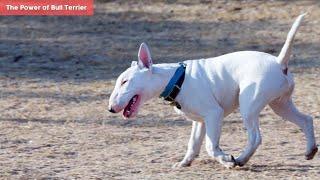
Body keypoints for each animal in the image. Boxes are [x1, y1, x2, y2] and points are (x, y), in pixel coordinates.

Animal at [108, 13, 318, 168]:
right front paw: (183, 163)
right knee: (306, 120)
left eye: (125, 81)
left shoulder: (214, 114)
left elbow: (210, 146)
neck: (176, 78)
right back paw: (310, 150)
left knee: (255, 137)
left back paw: (241, 159)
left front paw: (226, 160)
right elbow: (193, 145)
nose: (110, 109)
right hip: (280, 105)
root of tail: (279, 62)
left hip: (249, 107)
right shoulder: (201, 121)